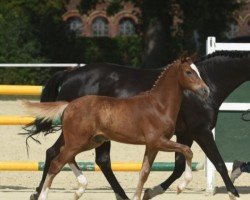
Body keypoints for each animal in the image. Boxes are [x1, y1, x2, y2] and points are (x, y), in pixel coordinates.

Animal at [27, 50, 248, 200]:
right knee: (63, 155)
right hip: (83, 137)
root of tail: (70, 73)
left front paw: (151, 191)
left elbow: (173, 166)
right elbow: (217, 162)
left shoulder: (181, 135)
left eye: (197, 73)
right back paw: (42, 192)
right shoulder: (199, 131)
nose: (205, 91)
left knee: (75, 156)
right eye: (189, 72)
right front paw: (233, 193)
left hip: (92, 138)